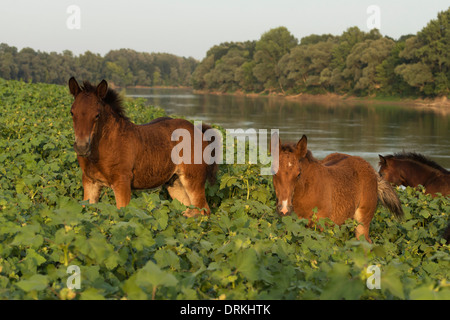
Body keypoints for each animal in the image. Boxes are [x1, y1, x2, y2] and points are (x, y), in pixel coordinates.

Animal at [67, 77, 219, 215]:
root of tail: (200, 131)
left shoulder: (122, 183)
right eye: (72, 112)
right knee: (188, 211)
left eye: (97, 115)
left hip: (194, 180)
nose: (81, 147)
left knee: (203, 210)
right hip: (176, 184)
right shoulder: (90, 182)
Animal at [270, 135, 404, 242]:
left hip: (362, 223)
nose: (284, 209)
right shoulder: (294, 228)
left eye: (298, 174)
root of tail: (372, 170)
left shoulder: (321, 229)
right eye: (273, 172)